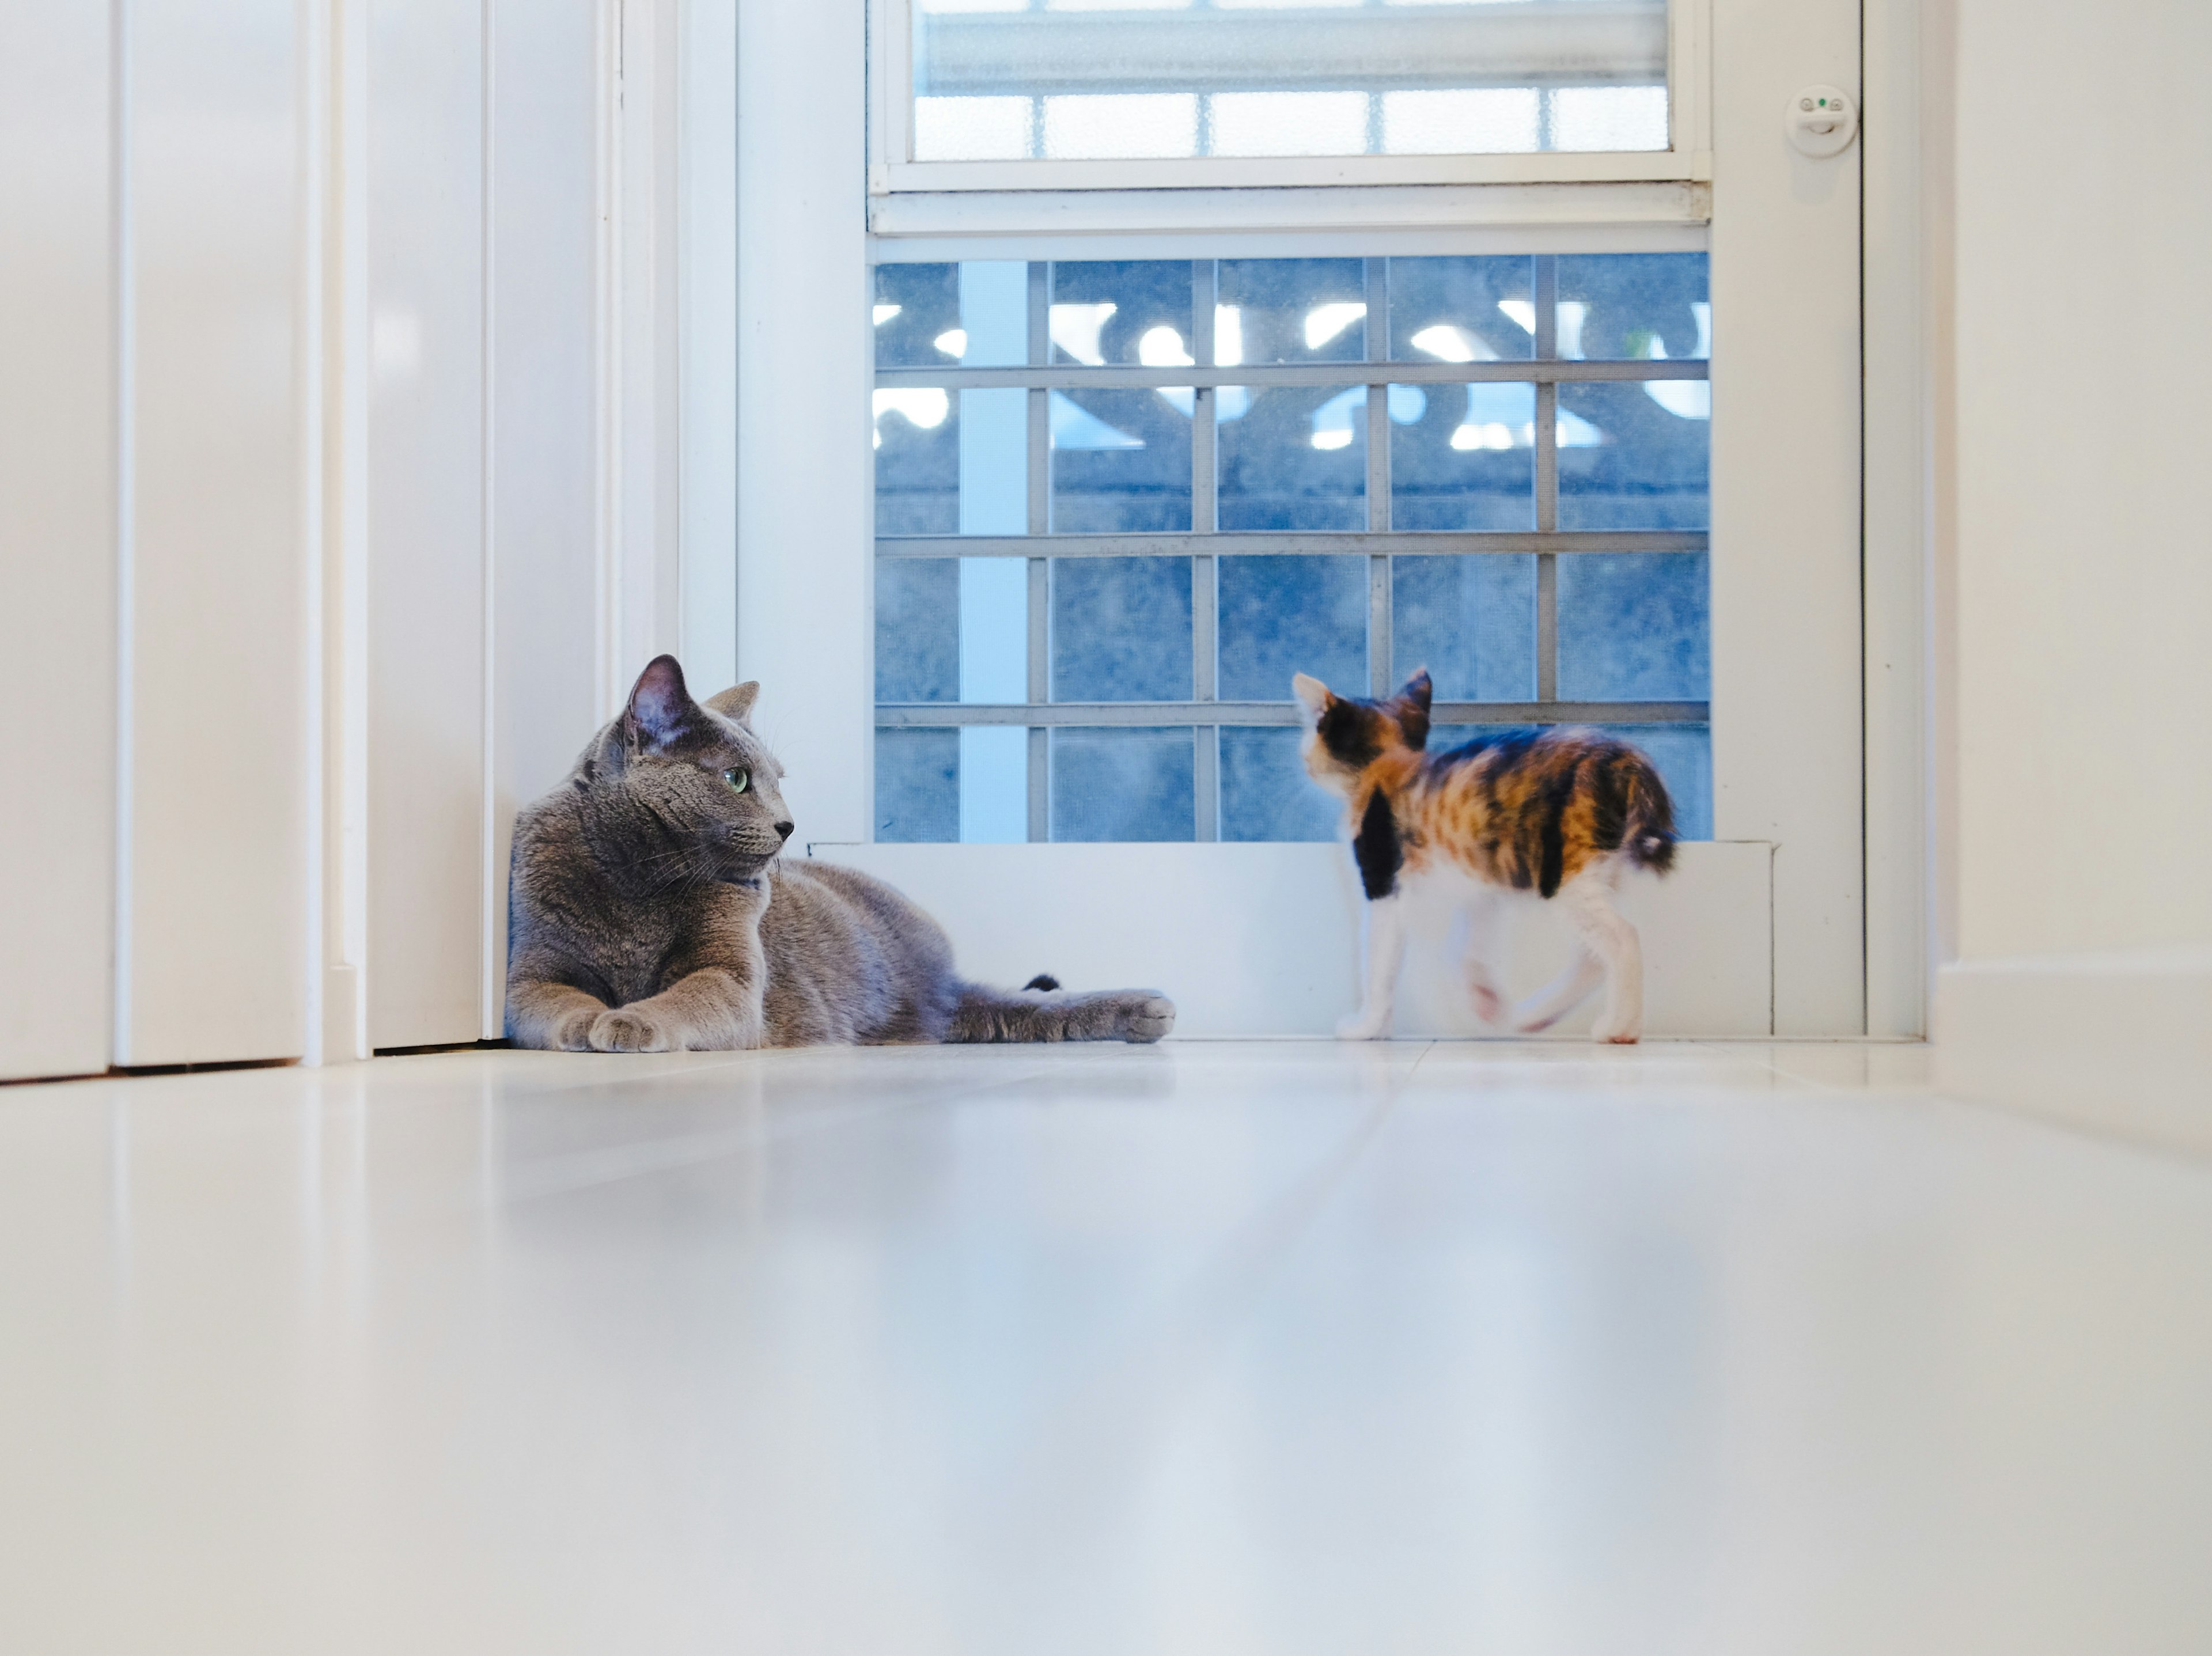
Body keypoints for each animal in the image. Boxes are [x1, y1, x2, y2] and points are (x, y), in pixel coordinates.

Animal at [511, 654, 1185, 1052]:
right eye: (736, 779)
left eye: (778, 779)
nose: (788, 825)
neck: (642, 879)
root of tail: (935, 991)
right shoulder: (530, 973)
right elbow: (558, 999)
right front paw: (589, 1021)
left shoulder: (732, 977)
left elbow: (687, 995)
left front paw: (631, 1021)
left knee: (1029, 1005)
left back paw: (1151, 1010)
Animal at [1291, 663, 1663, 1039]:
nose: (1304, 761)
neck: (1385, 760)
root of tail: (1624, 759)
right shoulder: (1478, 873)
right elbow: (1470, 940)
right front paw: (1484, 998)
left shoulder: (1383, 879)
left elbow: (1379, 958)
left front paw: (1368, 1026)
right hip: (1601, 868)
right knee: (1591, 958)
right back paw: (1534, 1016)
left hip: (1563, 872)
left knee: (1622, 937)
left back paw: (1620, 1028)